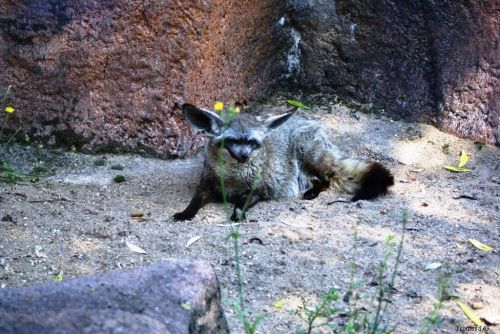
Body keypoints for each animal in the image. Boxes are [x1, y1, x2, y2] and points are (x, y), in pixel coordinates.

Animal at [174, 103, 392, 220]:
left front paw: (237, 215)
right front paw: (185, 213)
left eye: (252, 143)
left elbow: (240, 204)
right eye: (233, 141)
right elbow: (195, 200)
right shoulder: (206, 183)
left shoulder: (257, 190)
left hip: (308, 156)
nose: (244, 156)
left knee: (327, 178)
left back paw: (313, 191)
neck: (232, 178)